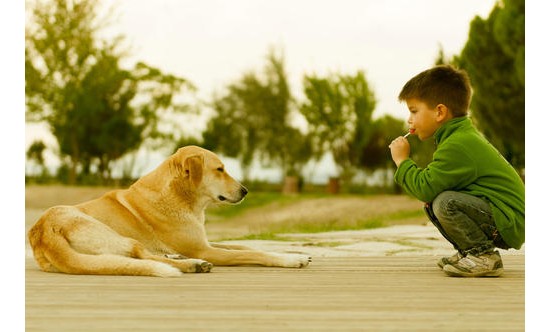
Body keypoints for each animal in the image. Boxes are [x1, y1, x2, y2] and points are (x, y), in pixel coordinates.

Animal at [28, 146, 312, 278]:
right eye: (220, 169)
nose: (245, 191)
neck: (181, 197)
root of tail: (42, 234)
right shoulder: (205, 249)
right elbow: (253, 254)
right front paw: (291, 259)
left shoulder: (206, 243)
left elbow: (247, 247)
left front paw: (294, 252)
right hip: (114, 234)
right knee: (144, 256)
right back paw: (192, 265)